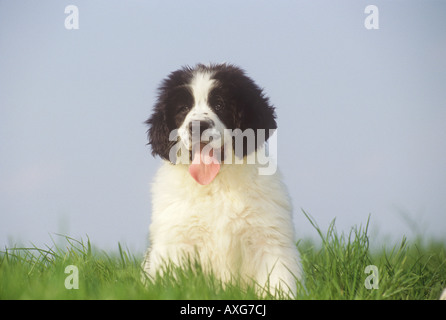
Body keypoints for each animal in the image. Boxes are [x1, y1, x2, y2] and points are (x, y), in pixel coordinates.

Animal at [142, 63, 304, 298]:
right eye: (183, 109)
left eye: (220, 104)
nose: (197, 126)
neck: (216, 184)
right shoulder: (176, 243)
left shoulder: (269, 241)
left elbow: (278, 282)